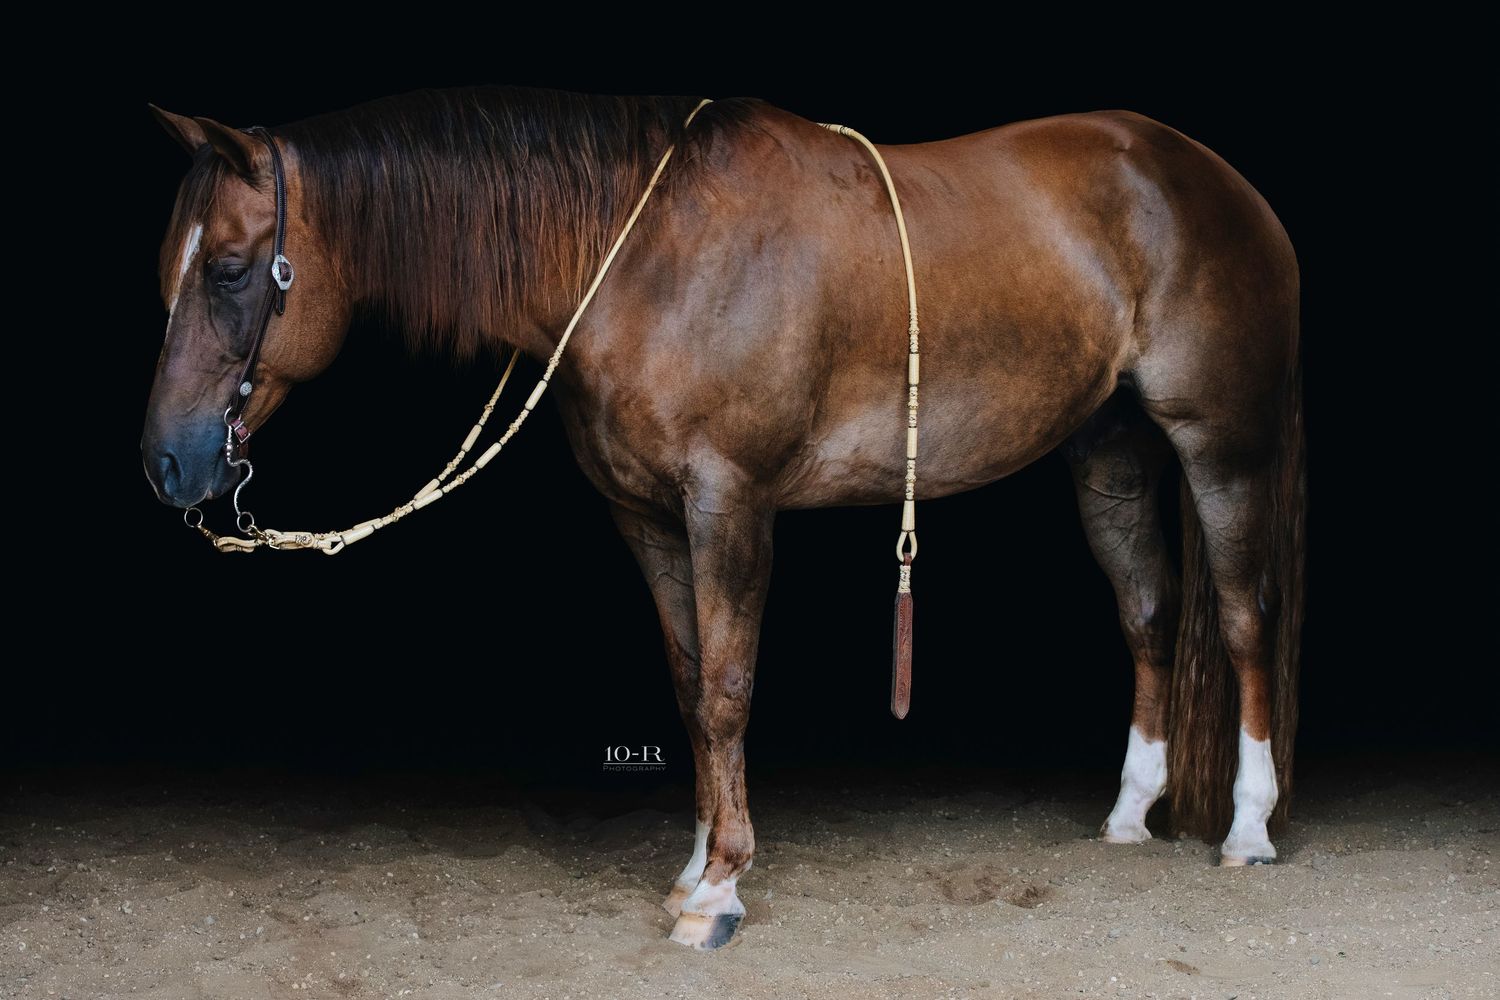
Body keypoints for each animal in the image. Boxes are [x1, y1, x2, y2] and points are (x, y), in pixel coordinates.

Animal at [142, 86, 1304, 950]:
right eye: (172, 274)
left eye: (233, 270)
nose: (167, 463)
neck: (643, 257)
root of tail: (1215, 178)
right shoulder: (650, 519)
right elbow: (692, 682)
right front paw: (698, 860)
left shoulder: (730, 502)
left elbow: (732, 687)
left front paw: (721, 891)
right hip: (1111, 456)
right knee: (1151, 616)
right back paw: (1129, 813)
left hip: (1220, 445)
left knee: (1244, 619)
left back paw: (1248, 829)